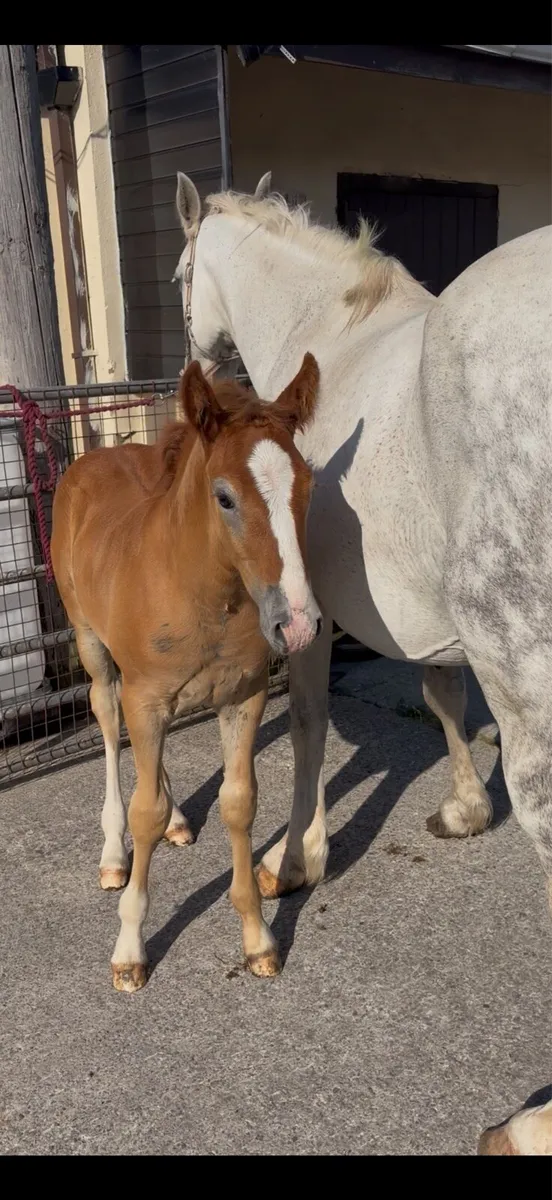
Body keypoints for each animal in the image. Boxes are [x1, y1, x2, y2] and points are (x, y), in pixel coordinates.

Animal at [50, 357, 322, 991]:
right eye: (224, 497)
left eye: (308, 484)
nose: (298, 625)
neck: (202, 590)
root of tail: (92, 457)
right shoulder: (146, 699)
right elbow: (142, 811)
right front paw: (129, 950)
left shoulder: (242, 697)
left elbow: (238, 803)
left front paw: (258, 939)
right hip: (92, 645)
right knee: (107, 722)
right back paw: (113, 853)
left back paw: (176, 815)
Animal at [173, 171, 552, 916]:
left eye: (179, 276)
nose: (189, 368)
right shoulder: (431, 616)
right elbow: (443, 696)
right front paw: (465, 808)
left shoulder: (308, 614)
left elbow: (308, 721)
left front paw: (295, 858)